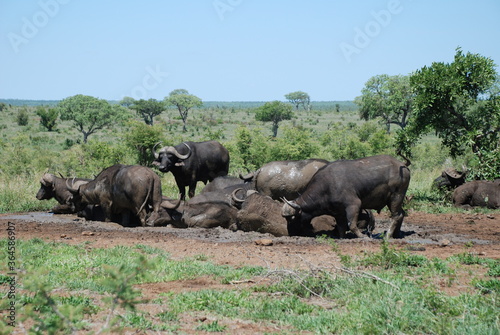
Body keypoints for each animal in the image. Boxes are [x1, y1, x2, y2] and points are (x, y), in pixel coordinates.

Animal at [282, 155, 410, 239]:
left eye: (292, 217)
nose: (290, 232)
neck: (326, 186)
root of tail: (402, 165)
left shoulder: (354, 205)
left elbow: (351, 224)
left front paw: (362, 236)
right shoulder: (338, 213)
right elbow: (341, 227)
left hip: (396, 197)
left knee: (396, 216)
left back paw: (388, 235)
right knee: (402, 213)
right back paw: (396, 234)